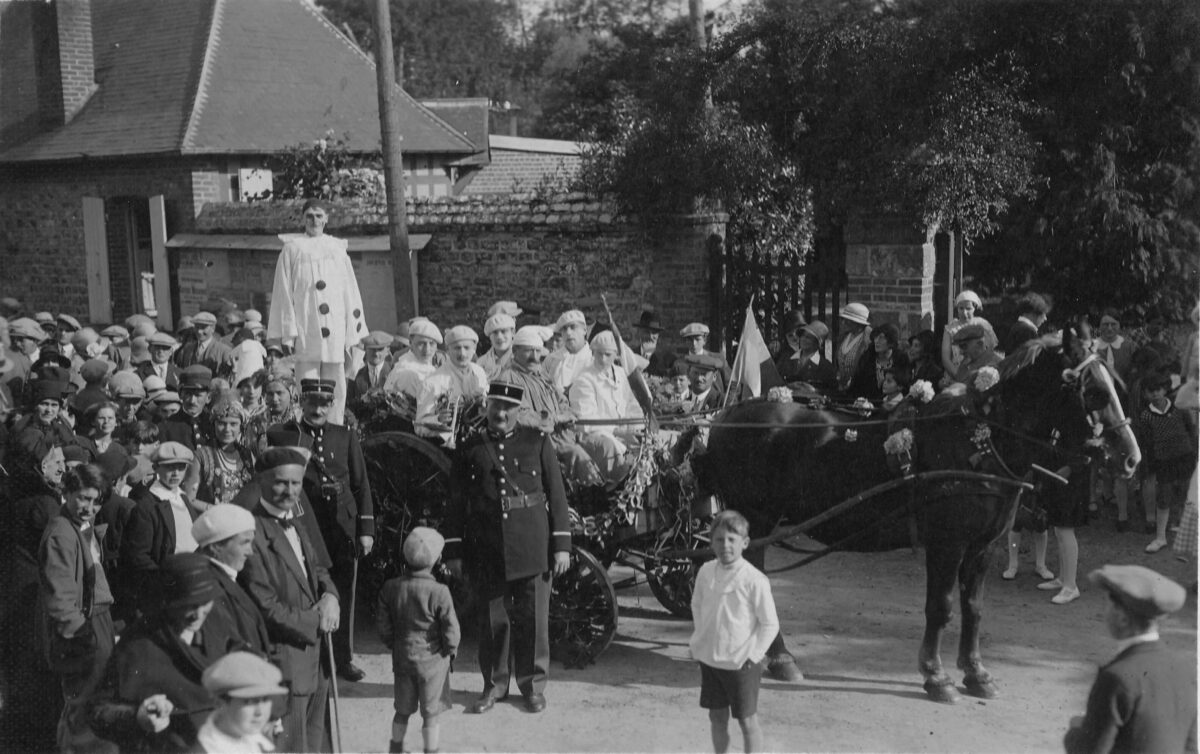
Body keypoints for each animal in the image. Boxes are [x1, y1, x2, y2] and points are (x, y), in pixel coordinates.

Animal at [696, 326, 1132, 705]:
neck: (978, 441)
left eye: (1115, 384)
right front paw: (936, 676)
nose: (1130, 456)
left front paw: (976, 673)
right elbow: (941, 607)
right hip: (756, 518)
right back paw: (779, 657)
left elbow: (974, 607)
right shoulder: (947, 543)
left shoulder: (983, 545)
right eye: (1094, 393)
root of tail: (725, 416)